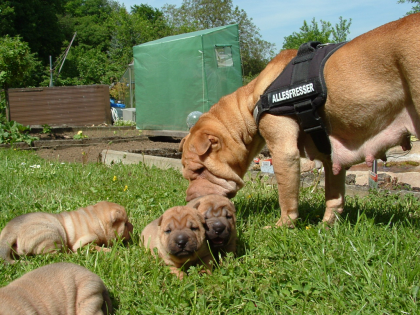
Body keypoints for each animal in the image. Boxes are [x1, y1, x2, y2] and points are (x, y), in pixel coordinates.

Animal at [0, 202, 134, 264]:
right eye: (125, 224)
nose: (132, 226)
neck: (98, 220)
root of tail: (11, 230)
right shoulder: (84, 244)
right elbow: (98, 248)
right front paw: (115, 252)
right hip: (51, 235)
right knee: (54, 254)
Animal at [180, 13, 420, 227]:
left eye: (199, 171)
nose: (188, 199)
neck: (249, 102)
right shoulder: (330, 155)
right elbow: (334, 196)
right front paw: (327, 225)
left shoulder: (283, 151)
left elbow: (286, 195)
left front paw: (283, 225)